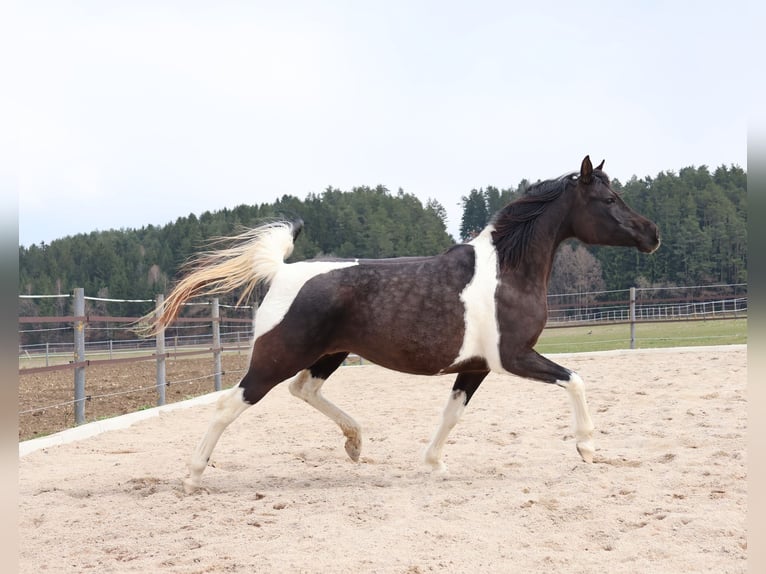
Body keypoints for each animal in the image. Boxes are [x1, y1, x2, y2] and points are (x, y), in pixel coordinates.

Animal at [147, 155, 660, 493]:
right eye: (608, 198)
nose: (652, 234)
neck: (507, 273)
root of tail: (282, 272)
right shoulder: (513, 357)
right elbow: (575, 379)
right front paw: (587, 448)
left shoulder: (476, 366)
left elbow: (452, 414)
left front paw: (434, 465)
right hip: (278, 357)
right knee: (229, 405)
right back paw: (193, 477)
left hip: (329, 354)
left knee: (304, 390)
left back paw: (356, 445)